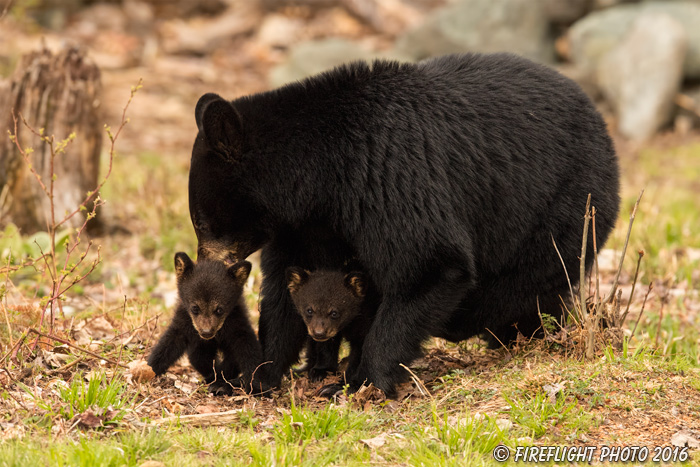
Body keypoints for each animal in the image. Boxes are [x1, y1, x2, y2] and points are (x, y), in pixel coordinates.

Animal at [148, 256, 266, 394]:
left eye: (219, 309)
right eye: (195, 308)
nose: (206, 332)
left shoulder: (237, 323)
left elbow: (248, 349)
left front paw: (256, 384)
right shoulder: (183, 322)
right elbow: (169, 344)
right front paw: (148, 369)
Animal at [187, 52, 616, 398]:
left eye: (202, 221)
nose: (206, 266)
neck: (322, 176)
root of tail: (602, 124)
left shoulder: (388, 175)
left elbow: (430, 264)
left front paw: (361, 382)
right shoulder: (305, 224)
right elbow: (285, 292)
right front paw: (251, 376)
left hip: (563, 208)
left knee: (523, 287)